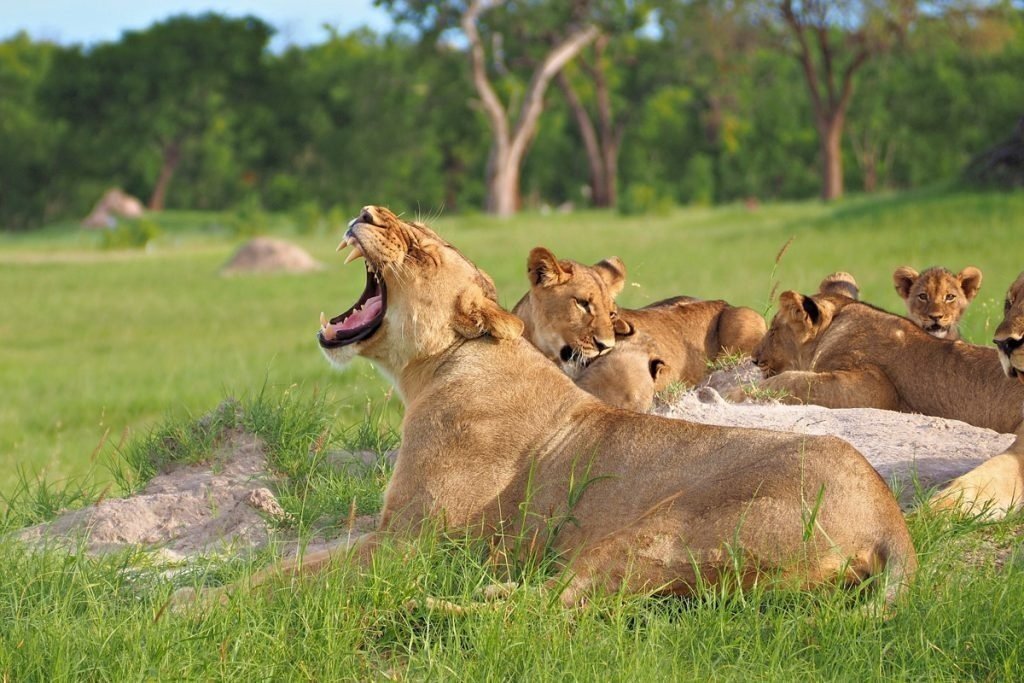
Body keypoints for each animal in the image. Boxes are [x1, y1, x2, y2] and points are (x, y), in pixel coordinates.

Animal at [179, 206, 915, 607]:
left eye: (419, 247)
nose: (368, 212)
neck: (435, 368)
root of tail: (891, 521)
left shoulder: (410, 544)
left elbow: (287, 577)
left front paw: (185, 605)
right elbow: (286, 563)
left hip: (654, 526)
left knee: (556, 613)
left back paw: (439, 603)